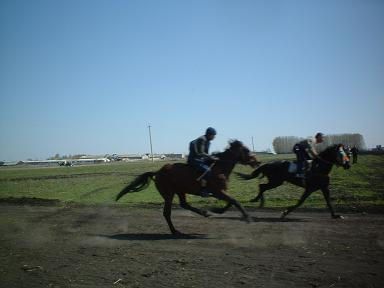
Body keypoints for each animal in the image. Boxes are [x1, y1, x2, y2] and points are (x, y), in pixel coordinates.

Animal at [115, 141, 260, 235]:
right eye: (246, 150)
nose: (257, 161)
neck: (219, 168)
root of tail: (158, 172)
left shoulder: (221, 191)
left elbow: (231, 202)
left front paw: (216, 210)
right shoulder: (217, 191)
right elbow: (235, 201)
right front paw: (248, 218)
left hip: (180, 191)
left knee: (184, 204)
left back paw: (204, 213)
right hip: (168, 194)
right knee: (167, 213)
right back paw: (175, 231)